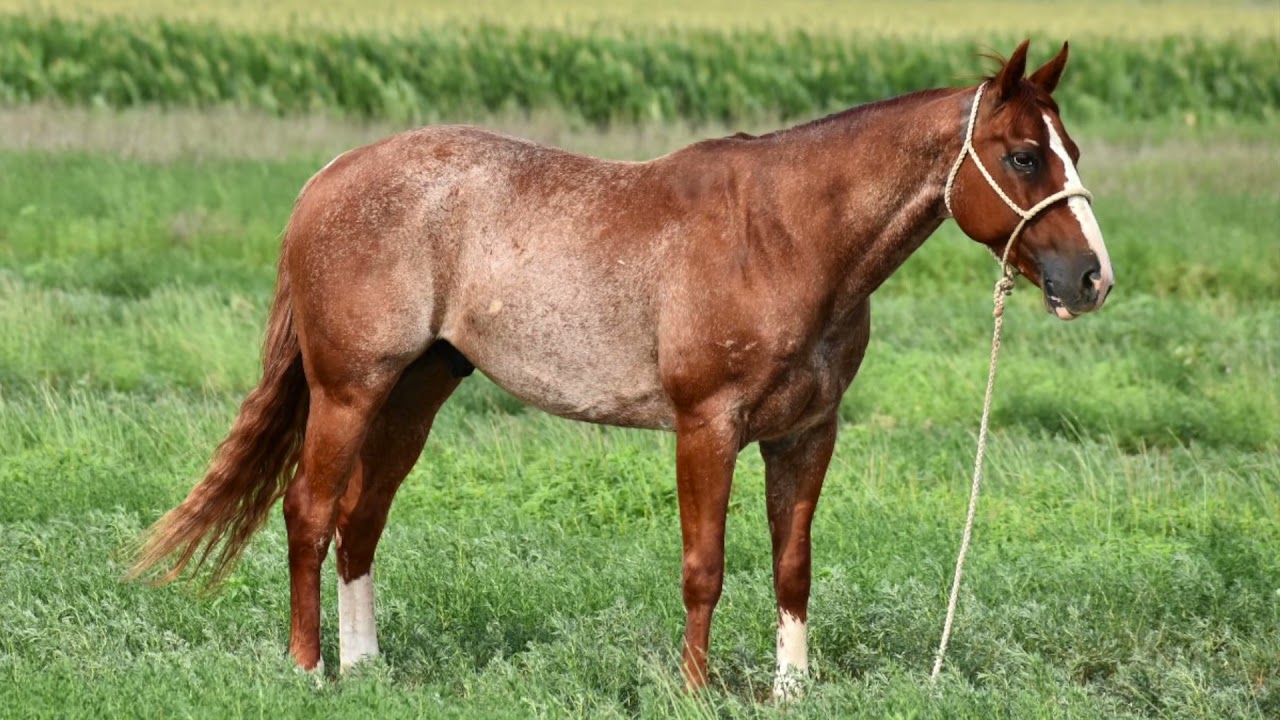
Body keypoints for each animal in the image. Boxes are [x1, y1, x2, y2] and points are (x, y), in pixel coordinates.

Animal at [131, 39, 1113, 697]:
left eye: (1071, 151)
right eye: (1023, 154)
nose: (1092, 278)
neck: (786, 236)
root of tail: (328, 176)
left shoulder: (806, 434)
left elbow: (792, 565)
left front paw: (792, 692)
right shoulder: (706, 426)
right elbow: (704, 564)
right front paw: (695, 690)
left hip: (416, 391)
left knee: (359, 518)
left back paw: (368, 668)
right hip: (349, 388)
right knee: (308, 510)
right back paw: (309, 672)